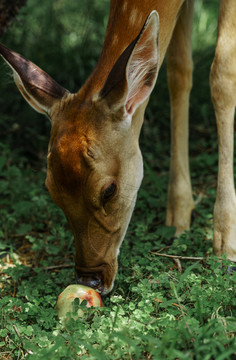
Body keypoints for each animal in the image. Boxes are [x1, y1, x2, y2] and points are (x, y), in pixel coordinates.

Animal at [0, 0, 235, 294]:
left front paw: (225, 246)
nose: (90, 279)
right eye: (51, 190)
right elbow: (178, 70)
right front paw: (179, 218)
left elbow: (222, 75)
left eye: (109, 190)